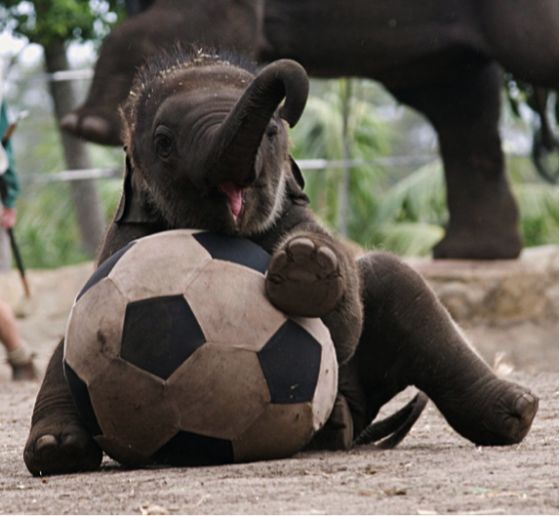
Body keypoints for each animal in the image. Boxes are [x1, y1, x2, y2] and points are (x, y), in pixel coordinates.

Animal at [23, 48, 540, 476]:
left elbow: (343, 329)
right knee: (66, 343)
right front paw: (304, 268)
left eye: (272, 131)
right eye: (164, 142)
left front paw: (306, 265)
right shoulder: (121, 244)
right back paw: (56, 451)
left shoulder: (298, 211)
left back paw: (514, 413)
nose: (290, 92)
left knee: (395, 281)